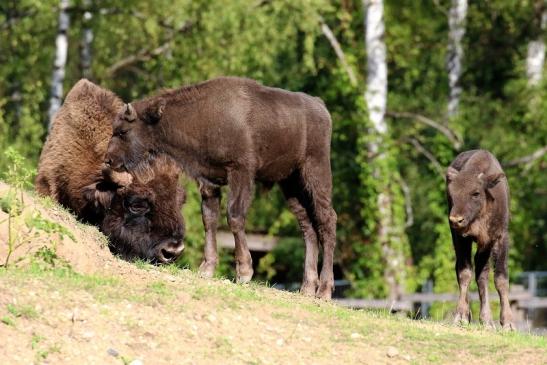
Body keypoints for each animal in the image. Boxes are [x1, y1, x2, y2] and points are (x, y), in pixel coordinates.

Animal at [105, 76, 338, 298]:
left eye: (123, 131)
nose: (108, 159)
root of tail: (321, 107)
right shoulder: (208, 180)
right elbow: (209, 219)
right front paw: (206, 269)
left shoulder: (240, 171)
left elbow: (234, 216)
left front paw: (244, 272)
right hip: (290, 183)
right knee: (307, 225)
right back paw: (307, 287)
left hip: (315, 171)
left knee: (327, 219)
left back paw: (324, 290)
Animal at [448, 149, 516, 328]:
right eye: (452, 194)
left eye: (476, 193)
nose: (455, 220)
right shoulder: (461, 238)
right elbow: (464, 272)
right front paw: (461, 316)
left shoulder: (500, 237)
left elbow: (500, 278)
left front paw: (508, 323)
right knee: (472, 271)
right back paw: (478, 317)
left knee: (482, 274)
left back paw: (486, 320)